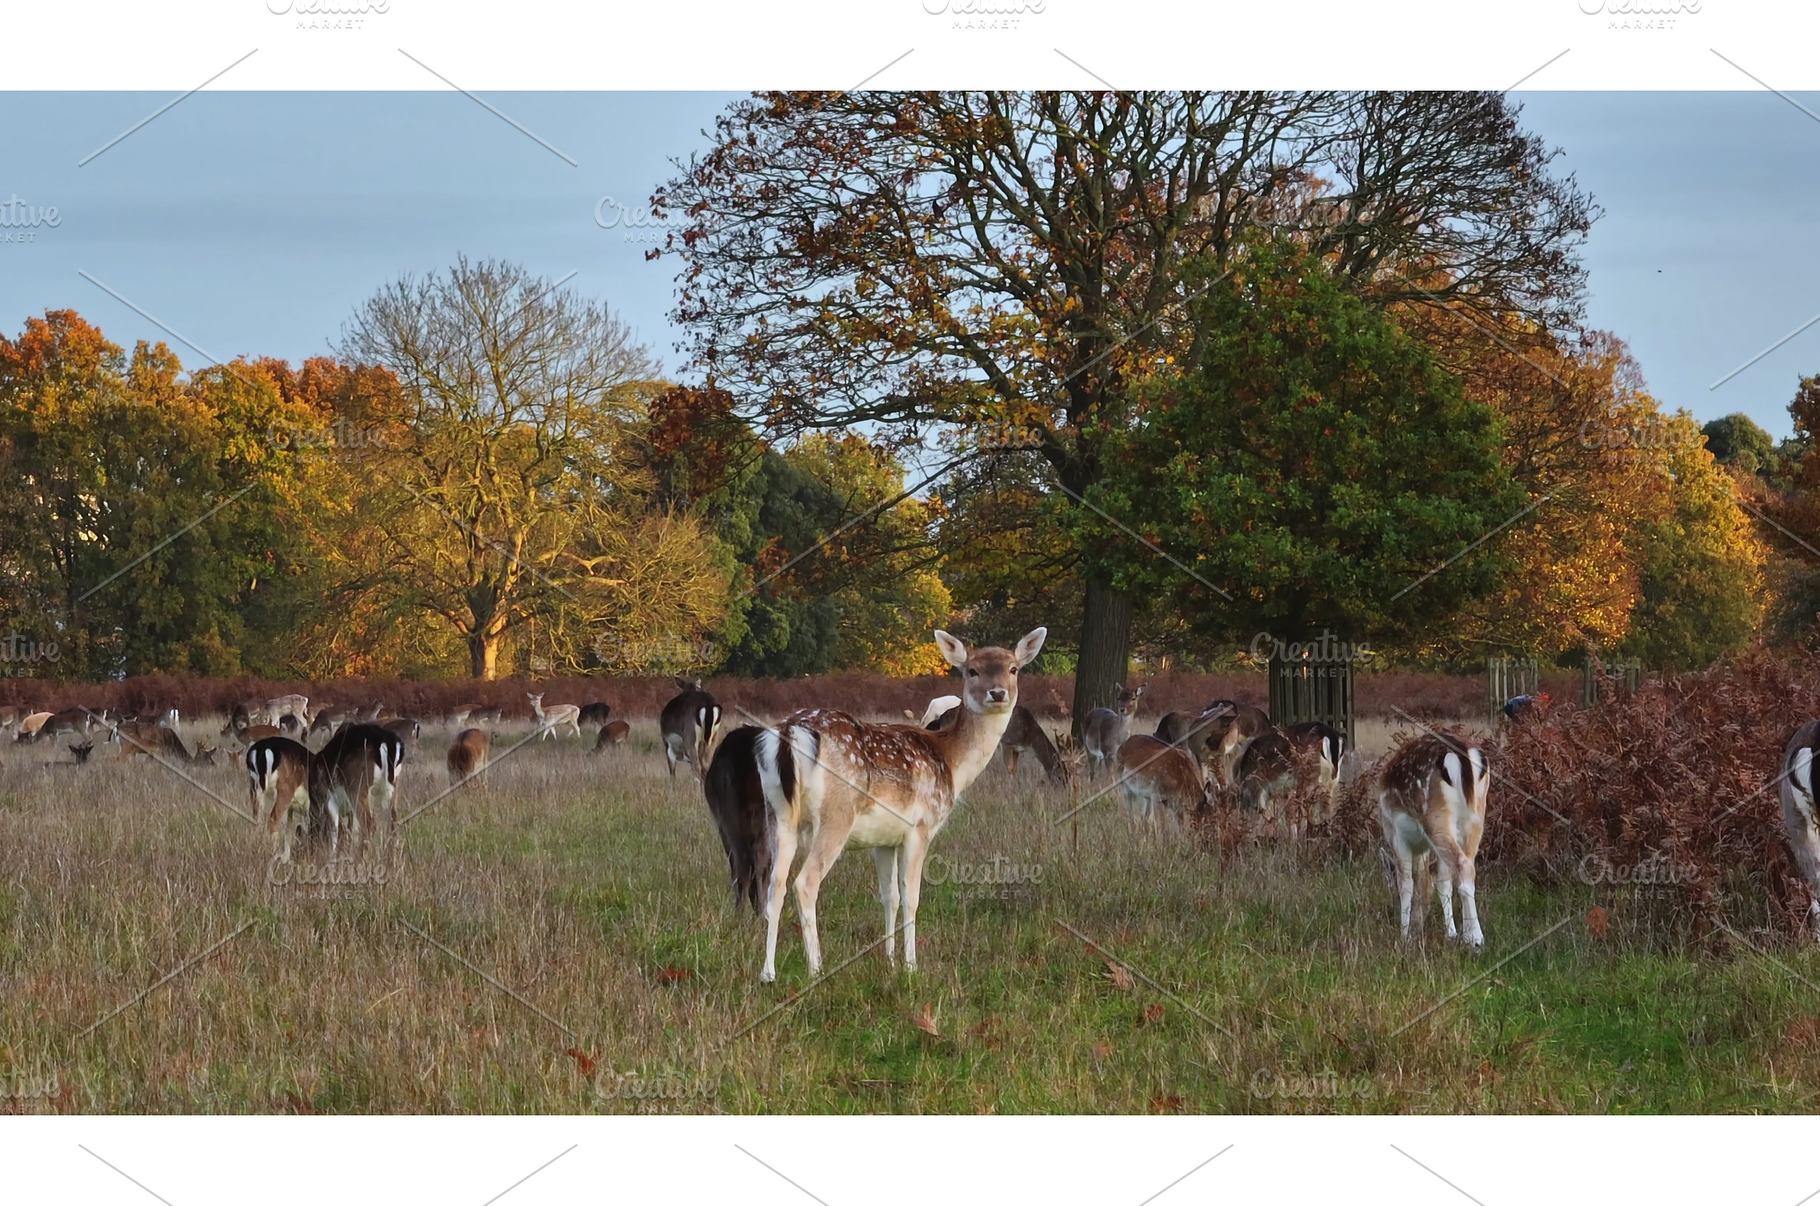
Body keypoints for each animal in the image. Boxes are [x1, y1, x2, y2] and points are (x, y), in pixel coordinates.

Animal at [705, 627, 1046, 983]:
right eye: (972, 670)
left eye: (1013, 669)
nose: (997, 693)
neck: (950, 763)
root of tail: (790, 734)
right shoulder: (920, 827)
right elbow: (911, 896)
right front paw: (910, 965)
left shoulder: (884, 840)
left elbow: (889, 896)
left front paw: (890, 961)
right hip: (835, 814)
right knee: (805, 883)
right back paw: (816, 968)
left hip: (779, 814)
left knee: (775, 885)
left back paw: (768, 973)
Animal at [1377, 729, 1490, 948]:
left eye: (1389, 887)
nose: (1391, 913)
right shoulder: (1427, 847)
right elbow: (1440, 882)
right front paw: (1449, 933)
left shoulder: (1396, 833)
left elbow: (1407, 883)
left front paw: (1404, 936)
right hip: (1475, 816)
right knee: (1469, 866)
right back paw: (1467, 935)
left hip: (1435, 818)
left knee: (1463, 866)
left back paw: (1476, 938)